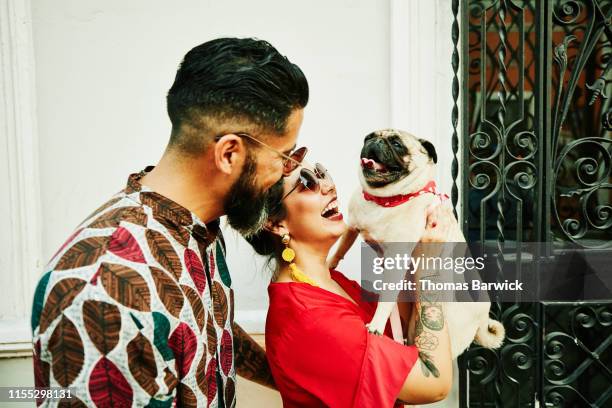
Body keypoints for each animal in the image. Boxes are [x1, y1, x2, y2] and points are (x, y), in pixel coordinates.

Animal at [332, 127, 504, 356]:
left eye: (397, 144)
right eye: (368, 137)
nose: (376, 141)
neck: (384, 201)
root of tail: (483, 317)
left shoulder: (396, 259)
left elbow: (386, 299)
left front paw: (376, 325)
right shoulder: (352, 226)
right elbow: (341, 247)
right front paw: (329, 264)